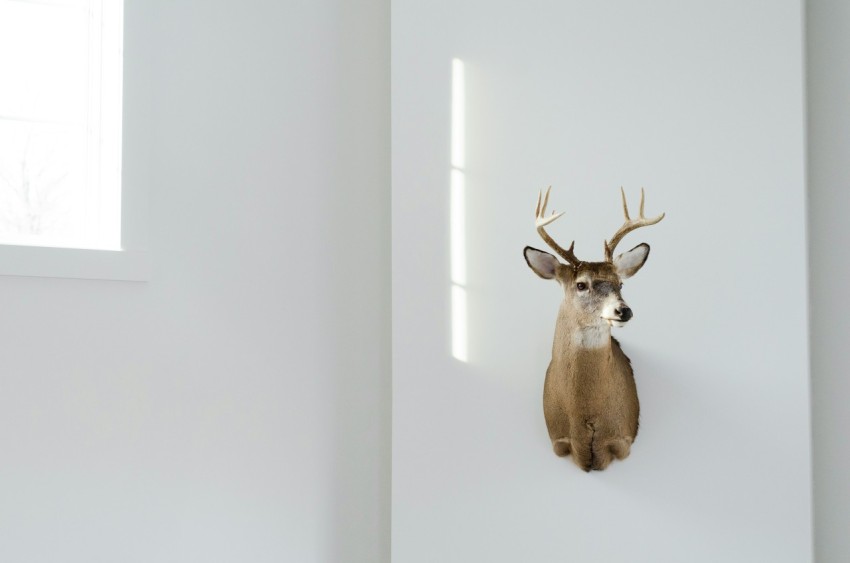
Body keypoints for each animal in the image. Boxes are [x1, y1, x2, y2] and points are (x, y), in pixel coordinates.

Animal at [523, 186, 664, 471]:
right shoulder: (559, 440)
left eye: (620, 283)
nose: (623, 310)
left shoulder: (622, 439)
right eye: (581, 284)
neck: (583, 412)